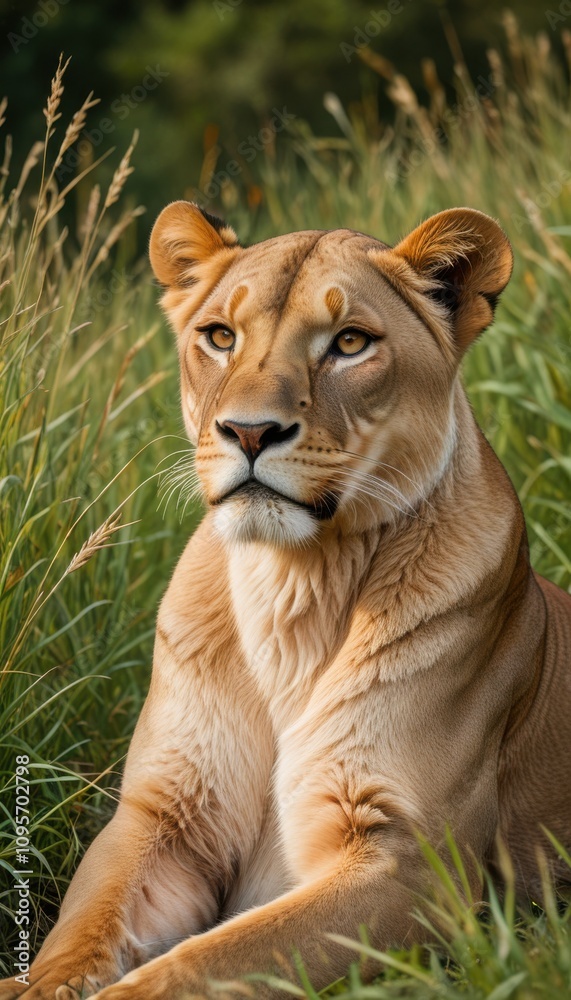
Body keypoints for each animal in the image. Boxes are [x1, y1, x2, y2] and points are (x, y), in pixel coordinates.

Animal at [2, 203, 570, 1000]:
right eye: (220, 337)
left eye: (350, 342)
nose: (248, 431)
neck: (290, 589)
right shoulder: (165, 817)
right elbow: (77, 936)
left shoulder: (415, 868)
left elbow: (205, 962)